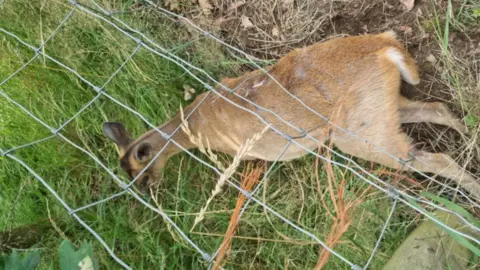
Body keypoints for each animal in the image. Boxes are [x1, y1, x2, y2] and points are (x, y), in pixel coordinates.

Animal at [102, 30, 480, 199]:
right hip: (377, 107)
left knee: (434, 158)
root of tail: (385, 46)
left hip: (357, 133)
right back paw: (468, 140)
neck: (195, 126)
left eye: (139, 173)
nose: (144, 193)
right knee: (437, 108)